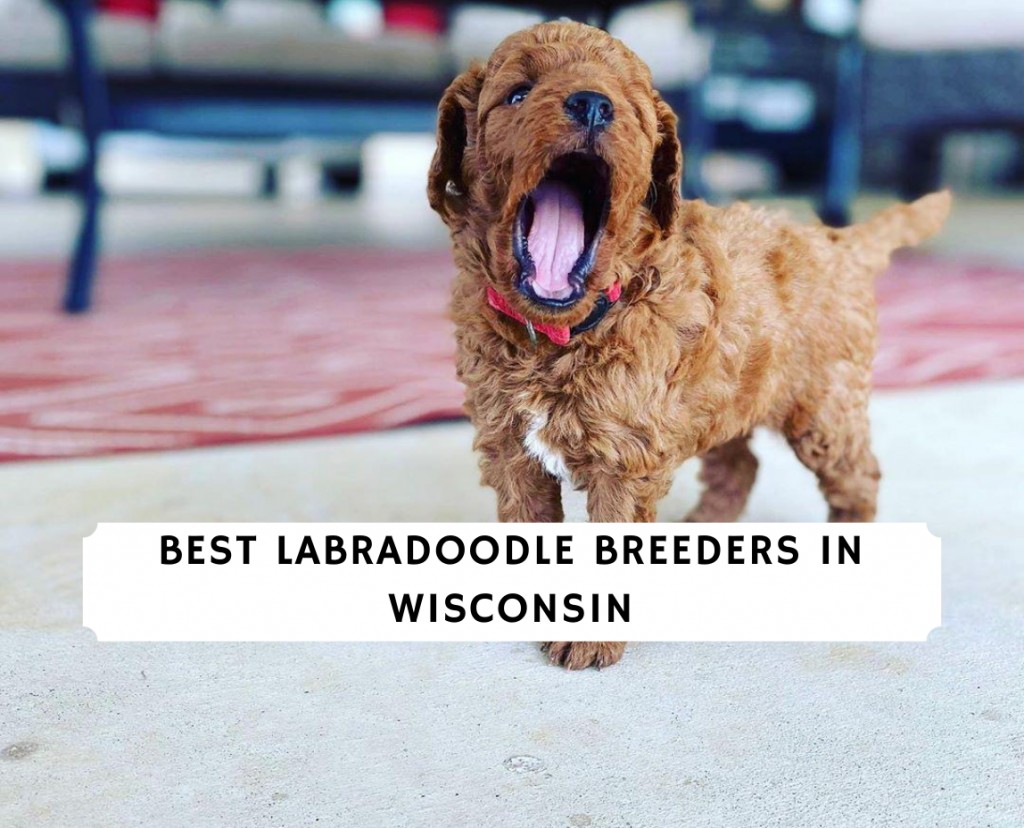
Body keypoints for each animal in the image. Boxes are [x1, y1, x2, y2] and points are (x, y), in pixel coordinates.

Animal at [425, 19, 950, 667]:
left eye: (629, 107)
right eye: (518, 93)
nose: (593, 105)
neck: (558, 332)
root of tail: (840, 242)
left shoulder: (625, 455)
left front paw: (587, 639)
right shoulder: (508, 444)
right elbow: (526, 522)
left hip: (825, 407)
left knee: (858, 476)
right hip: (725, 394)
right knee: (740, 464)